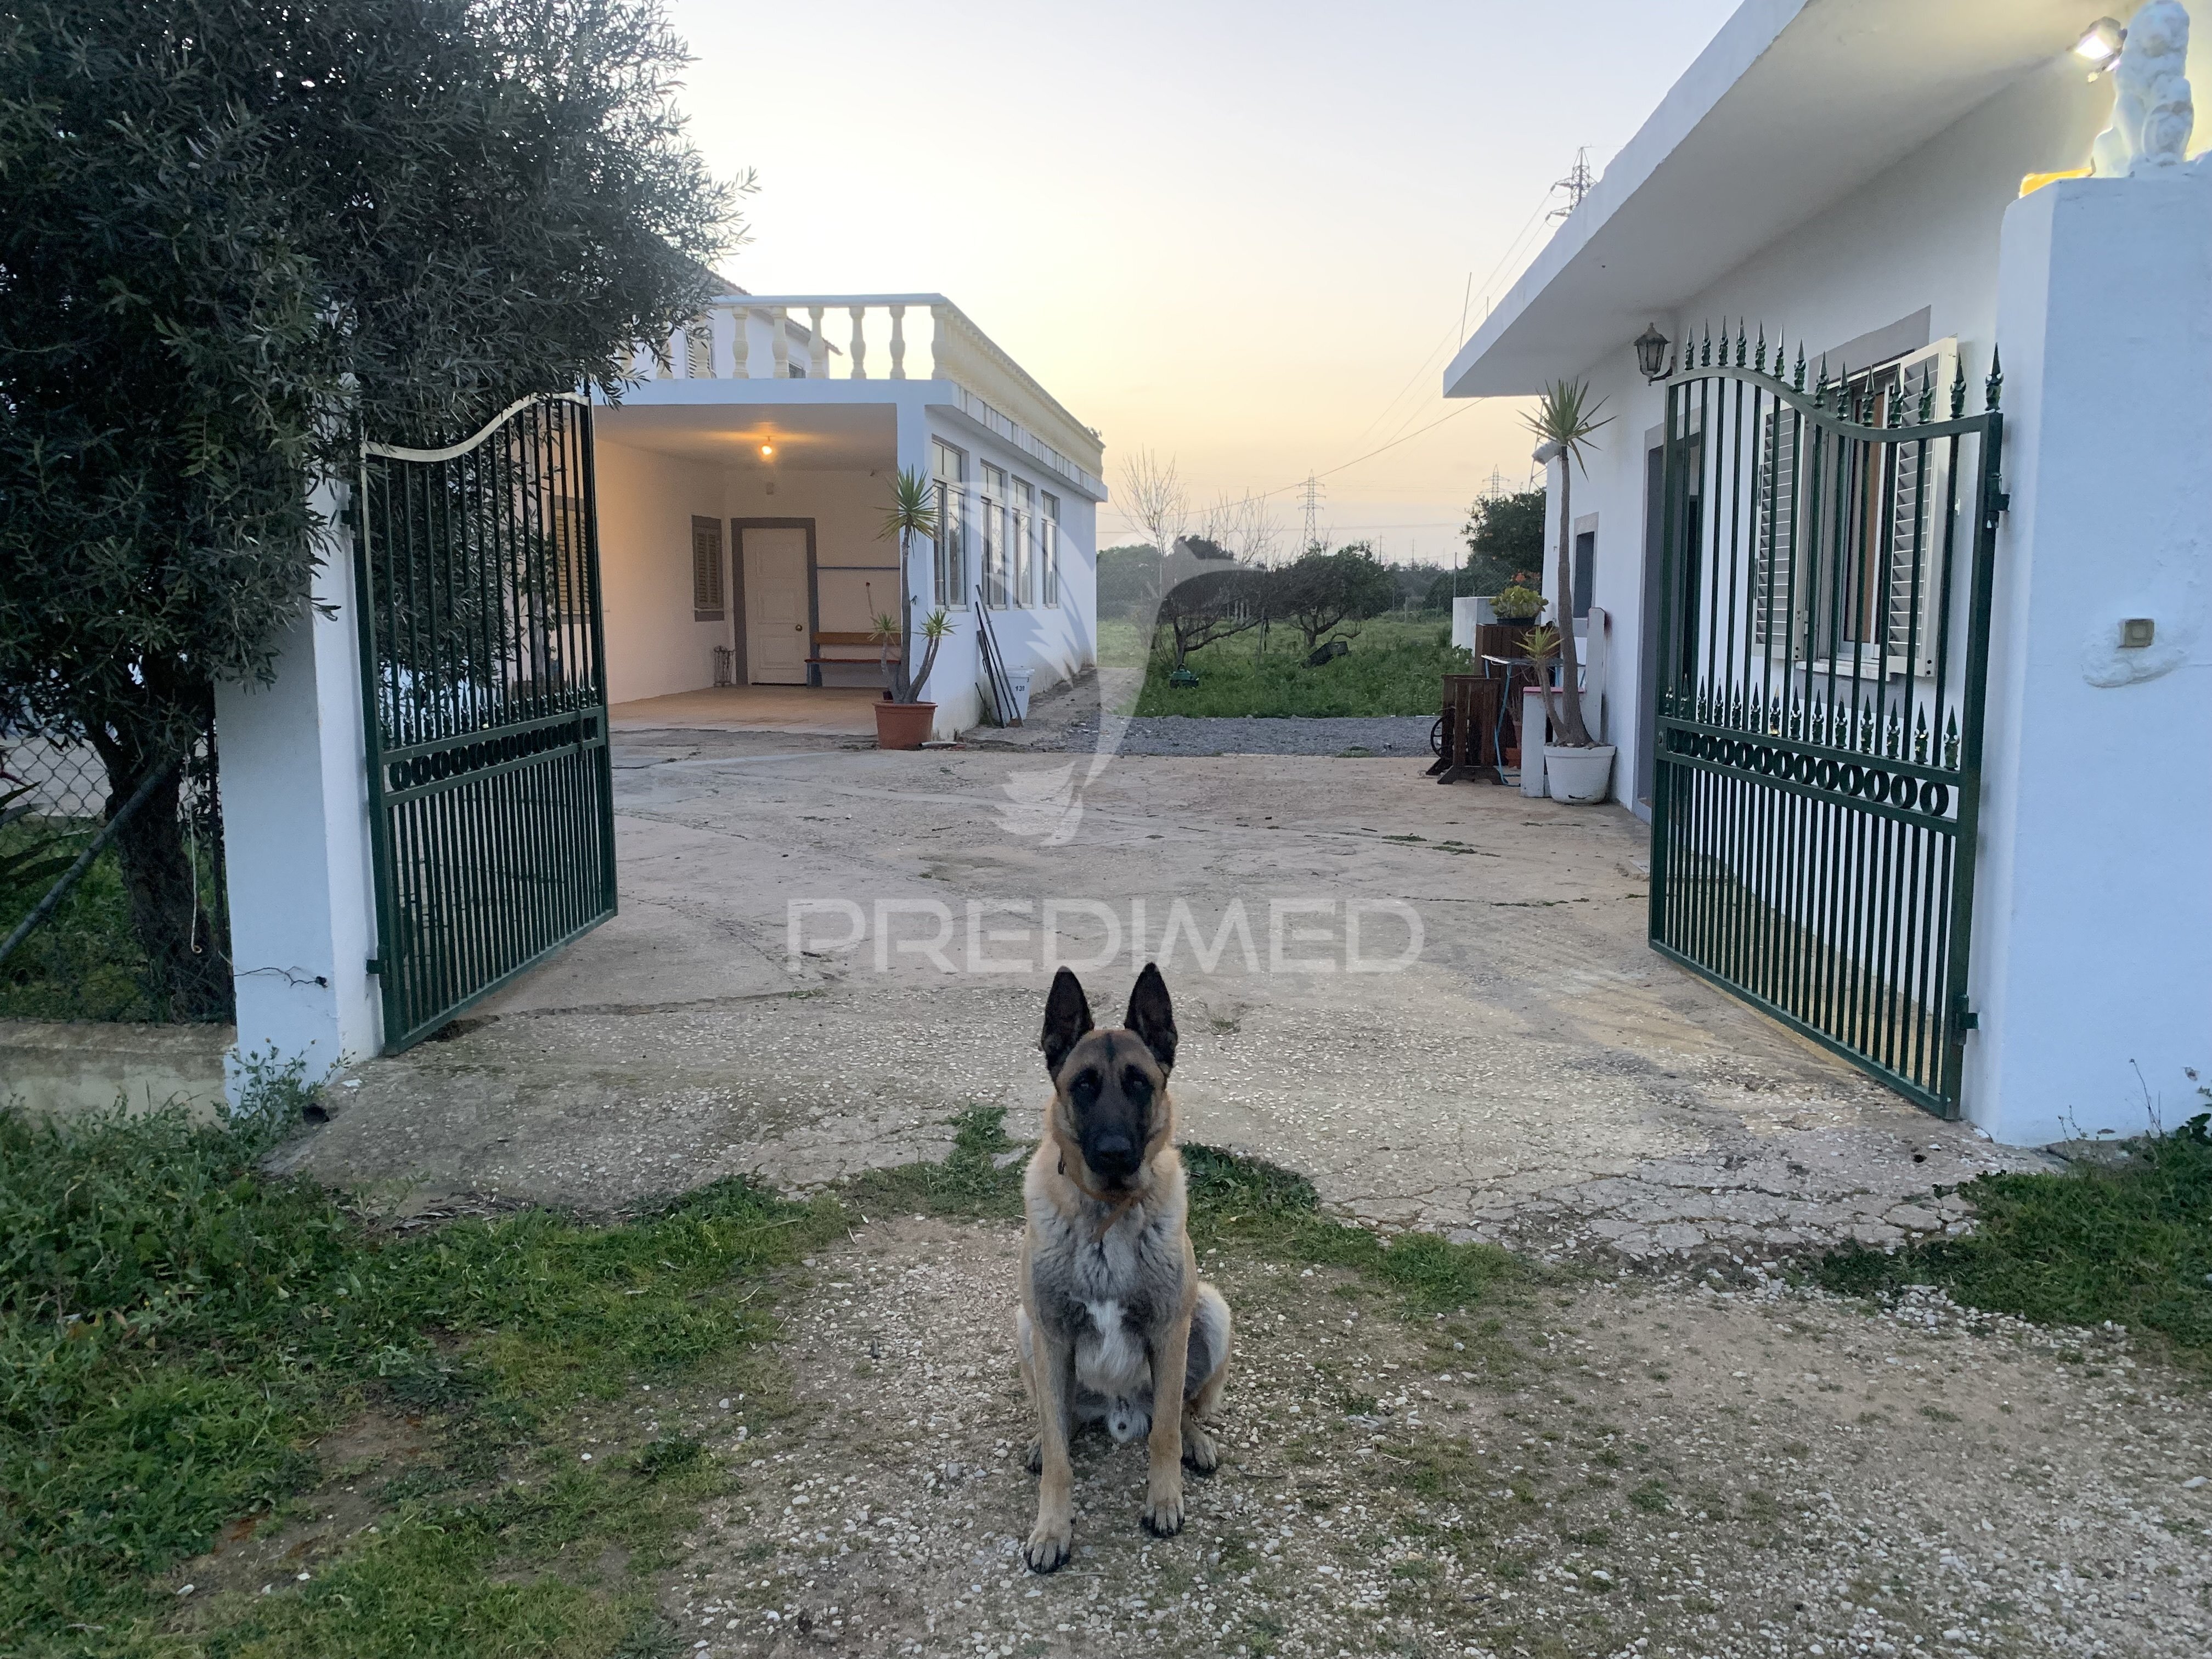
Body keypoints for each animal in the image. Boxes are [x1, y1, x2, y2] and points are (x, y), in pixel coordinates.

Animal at [1014, 962, 1232, 1573]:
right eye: (1084, 1085)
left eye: (1139, 1083)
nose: (1114, 1153)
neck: (1107, 1213)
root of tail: (1118, 1412)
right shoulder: (1051, 1334)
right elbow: (1061, 1459)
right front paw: (1052, 1528)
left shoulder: (1168, 1330)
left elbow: (1163, 1434)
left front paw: (1164, 1500)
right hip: (1026, 1328)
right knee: (1058, 1418)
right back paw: (1046, 1437)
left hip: (1210, 1311)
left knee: (1179, 1411)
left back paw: (1195, 1442)